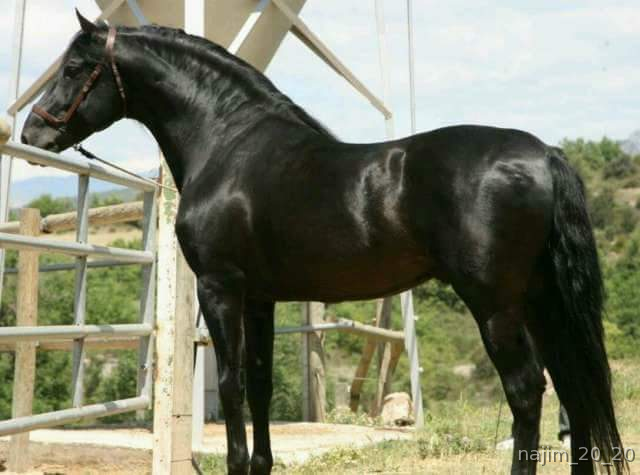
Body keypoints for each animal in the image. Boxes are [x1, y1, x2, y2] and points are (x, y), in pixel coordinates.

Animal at [20, 12, 626, 475]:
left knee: (526, 391)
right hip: (542, 301)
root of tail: (543, 153)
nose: (33, 133)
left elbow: (232, 384)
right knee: (573, 388)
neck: (226, 142)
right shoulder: (260, 299)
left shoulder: (220, 289)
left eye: (73, 68)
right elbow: (260, 386)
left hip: (496, 304)